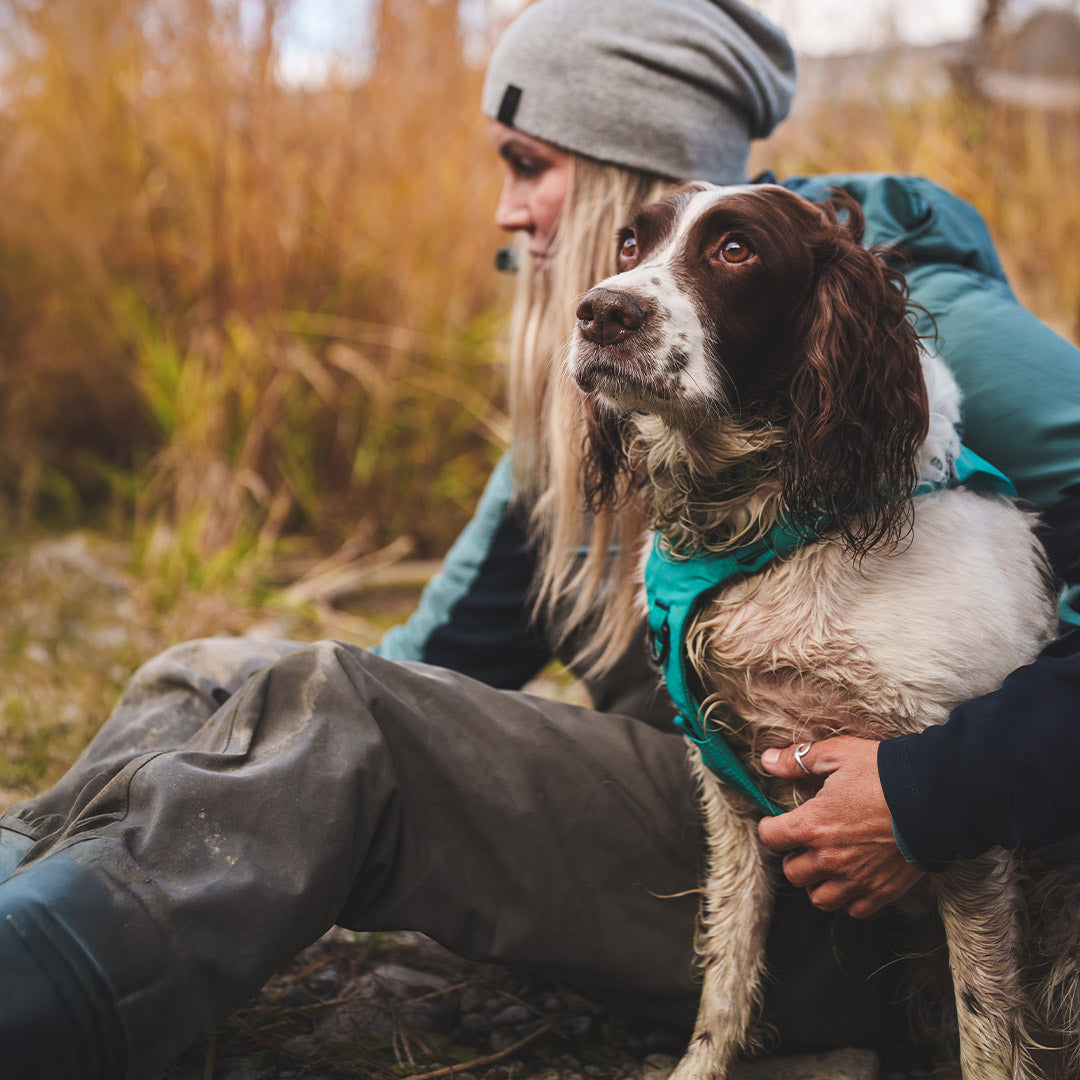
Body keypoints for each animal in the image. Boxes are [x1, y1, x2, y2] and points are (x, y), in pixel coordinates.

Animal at [574, 181, 1062, 1075]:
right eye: (631, 242)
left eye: (736, 250)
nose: (600, 313)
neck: (765, 533)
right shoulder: (731, 790)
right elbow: (726, 977)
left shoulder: (958, 825)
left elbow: (988, 1029)